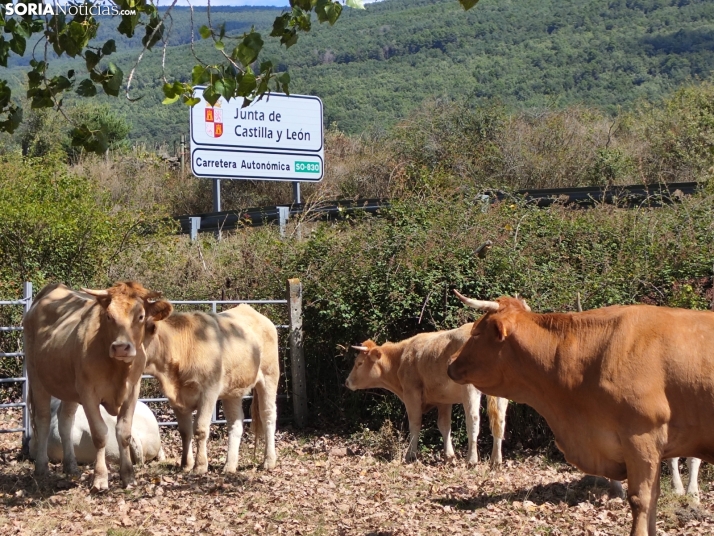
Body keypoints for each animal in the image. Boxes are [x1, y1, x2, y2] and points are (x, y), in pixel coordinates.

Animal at [142, 304, 278, 476]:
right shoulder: (176, 399)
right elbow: (185, 431)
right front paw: (186, 464)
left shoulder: (209, 392)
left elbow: (200, 428)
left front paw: (200, 466)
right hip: (232, 390)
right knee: (235, 423)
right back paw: (230, 465)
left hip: (269, 376)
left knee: (268, 415)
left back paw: (268, 461)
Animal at [344, 324, 506, 466]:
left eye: (359, 363)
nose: (347, 382)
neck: (401, 357)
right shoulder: (444, 400)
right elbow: (444, 425)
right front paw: (449, 457)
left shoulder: (411, 393)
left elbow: (415, 423)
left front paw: (410, 455)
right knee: (500, 421)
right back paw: (496, 460)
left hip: (469, 389)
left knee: (473, 419)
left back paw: (471, 460)